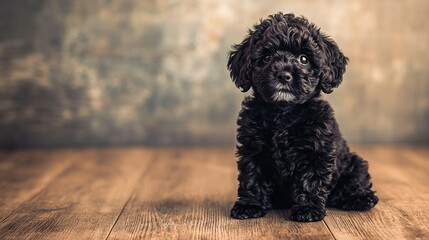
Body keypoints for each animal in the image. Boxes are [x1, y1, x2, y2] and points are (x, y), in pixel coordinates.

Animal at [226, 12, 376, 221]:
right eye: (266, 58)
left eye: (304, 59)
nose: (283, 74)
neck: (284, 112)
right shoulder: (253, 149)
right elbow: (252, 176)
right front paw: (250, 205)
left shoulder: (316, 151)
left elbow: (311, 180)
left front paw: (308, 210)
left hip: (355, 163)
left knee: (354, 182)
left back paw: (361, 198)